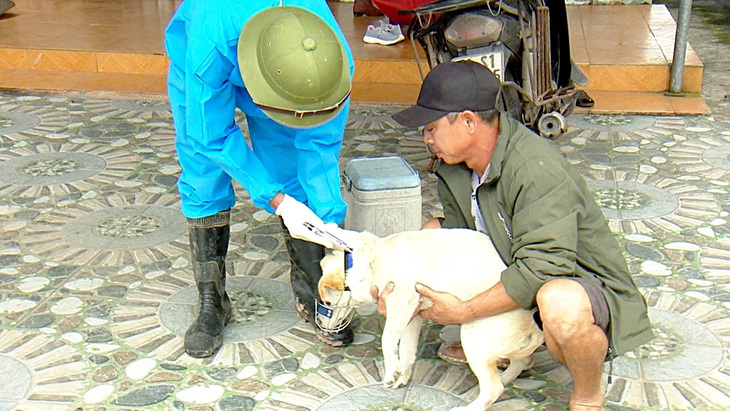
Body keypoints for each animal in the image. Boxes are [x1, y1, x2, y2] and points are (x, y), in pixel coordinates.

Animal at [318, 230, 540, 410]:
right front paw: (402, 377)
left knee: (494, 388)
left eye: (327, 304)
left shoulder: (401, 302)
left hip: (473, 339)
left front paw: (390, 373)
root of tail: (533, 322)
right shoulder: (412, 316)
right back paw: (504, 378)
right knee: (518, 365)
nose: (326, 332)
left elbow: (387, 340)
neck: (369, 258)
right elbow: (407, 352)